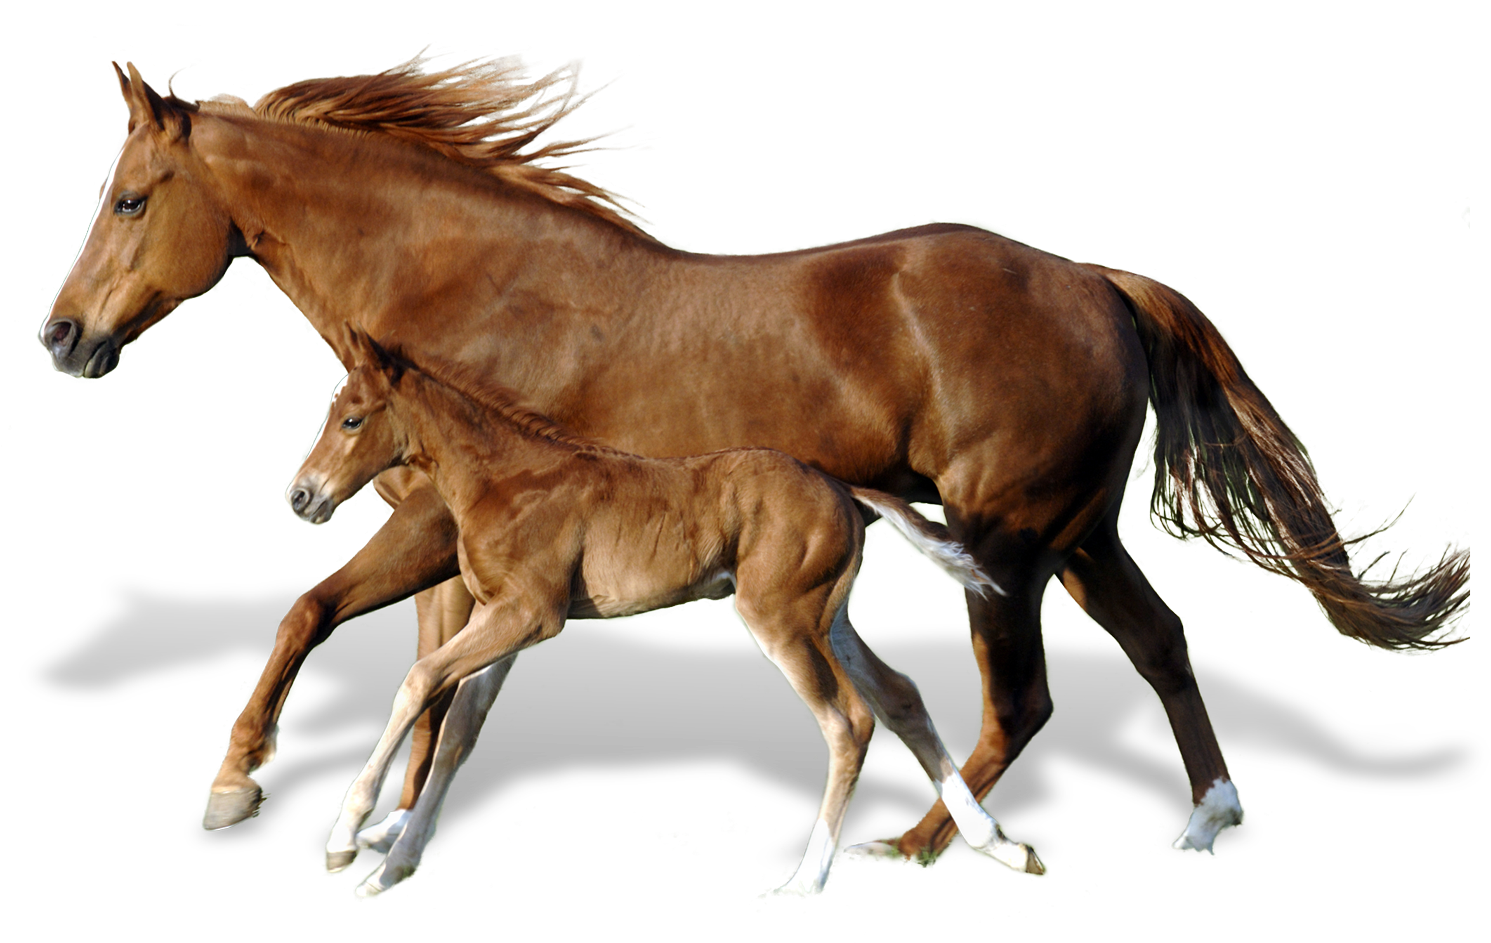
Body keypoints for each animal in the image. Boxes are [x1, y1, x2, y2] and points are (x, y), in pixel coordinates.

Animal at [285, 326, 1045, 899]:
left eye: (351, 417)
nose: (300, 495)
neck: (506, 479)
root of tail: (840, 486)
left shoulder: (529, 614)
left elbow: (417, 683)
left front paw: (345, 838)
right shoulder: (501, 621)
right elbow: (457, 732)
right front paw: (388, 871)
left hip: (780, 619)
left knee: (848, 721)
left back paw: (802, 882)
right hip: (826, 618)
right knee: (900, 696)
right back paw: (999, 845)